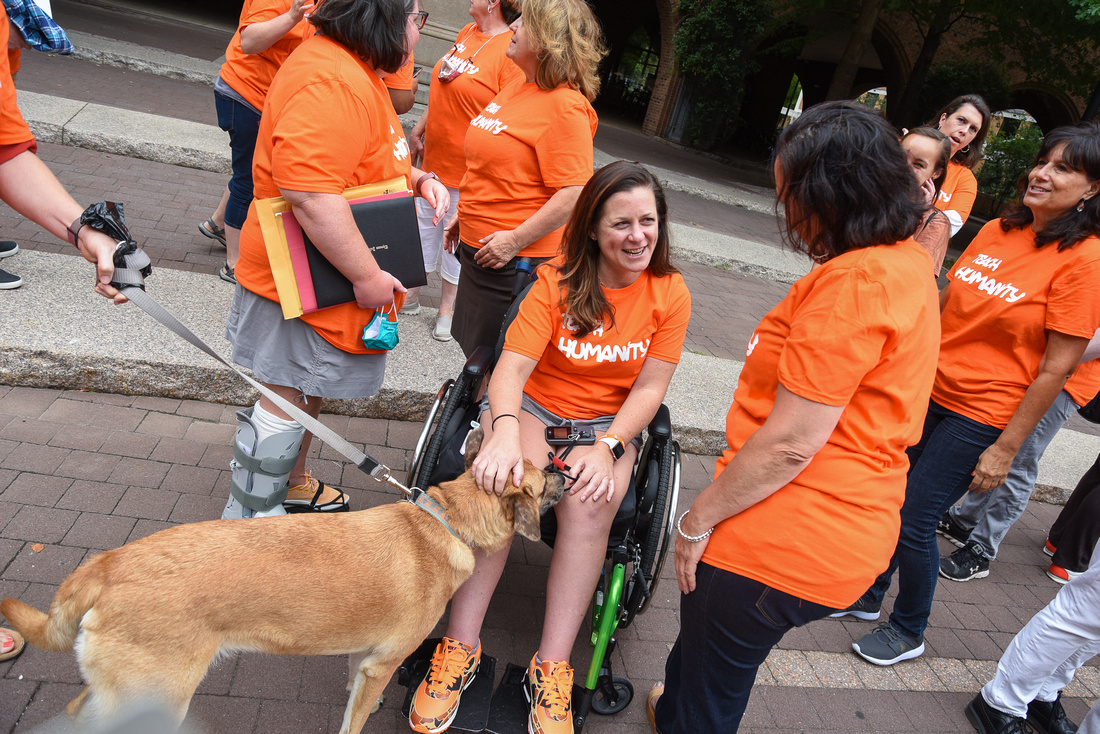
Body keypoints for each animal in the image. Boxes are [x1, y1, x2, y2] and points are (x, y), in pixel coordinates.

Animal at [0, 431, 563, 734]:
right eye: (542, 479)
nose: (567, 470)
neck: (445, 518)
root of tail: (107, 564)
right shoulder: (385, 662)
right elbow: (354, 721)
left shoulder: (367, 655)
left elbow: (354, 683)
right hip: (153, 698)